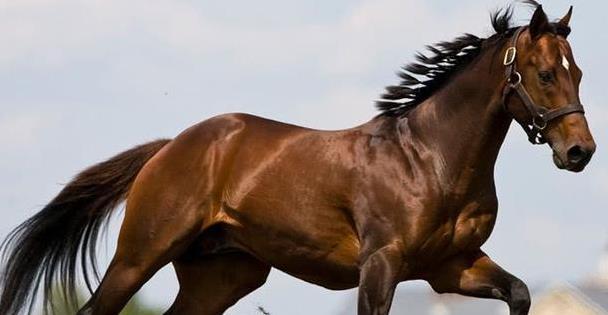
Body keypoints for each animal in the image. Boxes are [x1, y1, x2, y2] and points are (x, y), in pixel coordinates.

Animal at [0, 3, 600, 315]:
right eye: (546, 73)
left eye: (579, 71)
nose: (581, 152)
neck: (430, 160)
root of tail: (170, 147)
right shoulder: (381, 265)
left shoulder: (450, 266)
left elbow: (519, 293)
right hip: (138, 255)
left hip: (224, 275)